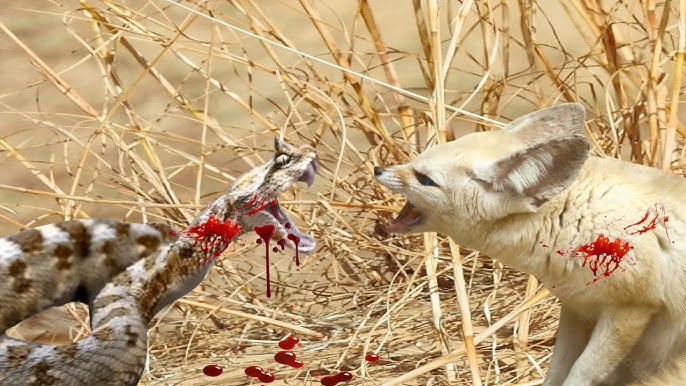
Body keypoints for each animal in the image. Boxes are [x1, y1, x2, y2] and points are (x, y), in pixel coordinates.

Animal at [376, 104, 686, 384]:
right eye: (416, 162)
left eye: (425, 179)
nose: (378, 169)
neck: (571, 216)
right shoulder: (577, 308)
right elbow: (557, 370)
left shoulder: (631, 308)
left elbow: (581, 372)